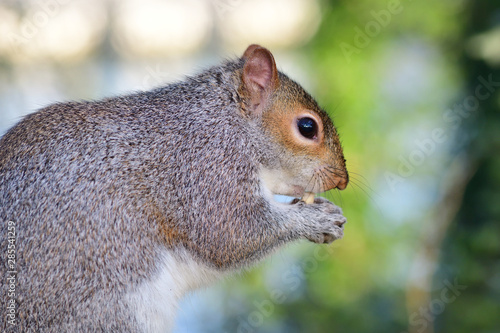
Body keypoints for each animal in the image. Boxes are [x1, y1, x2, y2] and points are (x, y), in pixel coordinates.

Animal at [0, 44, 348, 332]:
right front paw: (316, 219)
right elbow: (230, 234)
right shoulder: (205, 167)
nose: (342, 180)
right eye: (307, 127)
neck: (231, 122)